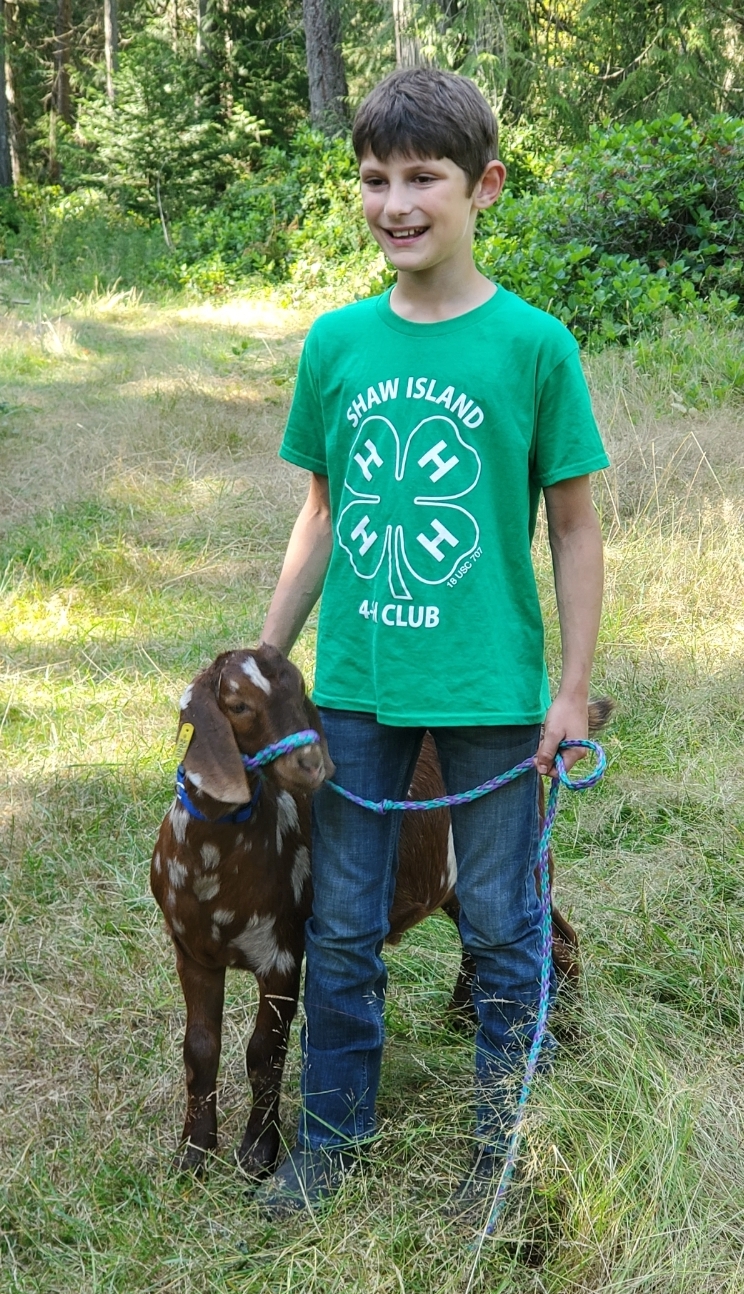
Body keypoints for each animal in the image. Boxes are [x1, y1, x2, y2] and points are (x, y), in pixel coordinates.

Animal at [151, 645, 598, 1176]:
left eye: (300, 688)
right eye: (237, 705)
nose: (311, 763)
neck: (216, 864)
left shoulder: (281, 952)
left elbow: (264, 1053)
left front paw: (257, 1155)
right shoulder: (191, 952)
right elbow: (199, 1050)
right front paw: (193, 1152)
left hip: (526, 860)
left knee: (557, 940)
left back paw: (567, 1039)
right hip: (456, 884)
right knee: (480, 938)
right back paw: (459, 1018)